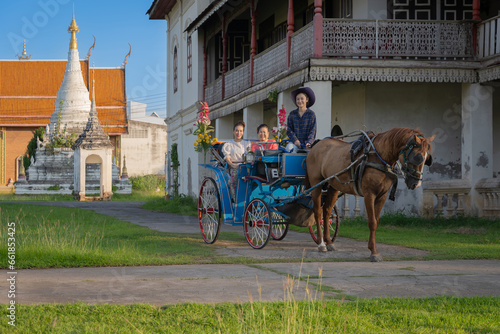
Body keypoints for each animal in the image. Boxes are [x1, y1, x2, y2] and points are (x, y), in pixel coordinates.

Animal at [304, 128, 434, 260]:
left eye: (427, 159)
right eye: (417, 157)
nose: (416, 184)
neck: (379, 157)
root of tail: (316, 145)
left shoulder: (382, 196)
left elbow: (376, 222)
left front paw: (373, 249)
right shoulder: (369, 194)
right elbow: (372, 222)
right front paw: (373, 252)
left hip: (333, 185)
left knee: (326, 211)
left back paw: (329, 242)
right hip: (316, 183)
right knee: (318, 212)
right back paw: (321, 243)